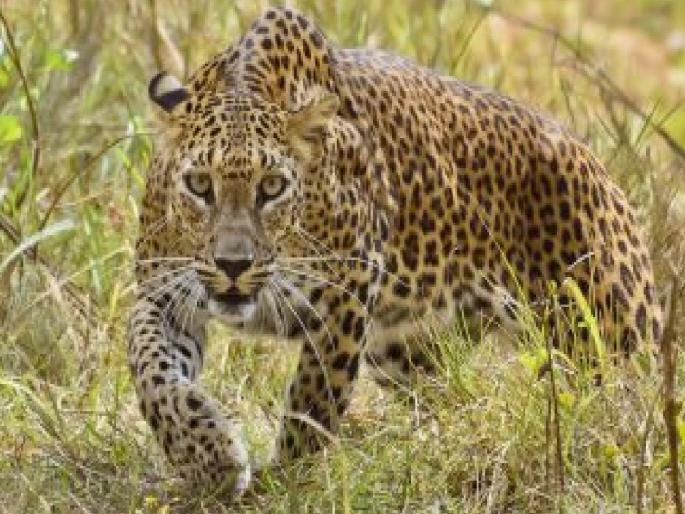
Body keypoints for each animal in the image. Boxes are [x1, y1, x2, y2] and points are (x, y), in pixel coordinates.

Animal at [128, 6, 663, 493]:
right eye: (200, 185)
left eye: (273, 187)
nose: (233, 265)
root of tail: (598, 164)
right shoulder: (164, 292)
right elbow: (151, 368)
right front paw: (208, 456)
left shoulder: (345, 296)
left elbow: (312, 402)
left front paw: (281, 483)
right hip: (408, 351)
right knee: (452, 397)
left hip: (609, 339)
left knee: (634, 408)